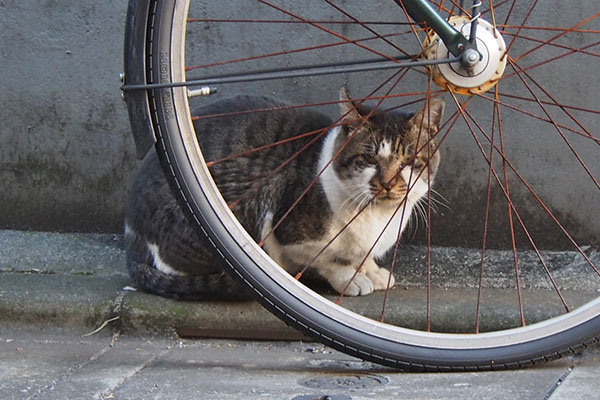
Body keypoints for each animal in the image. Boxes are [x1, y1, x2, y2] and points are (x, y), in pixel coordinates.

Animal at [124, 88, 442, 300]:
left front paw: (372, 270)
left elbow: (361, 255)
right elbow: (327, 258)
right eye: (369, 160)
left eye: (408, 161)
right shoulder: (287, 229)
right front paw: (350, 276)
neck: (377, 217)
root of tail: (133, 235)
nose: (387, 183)